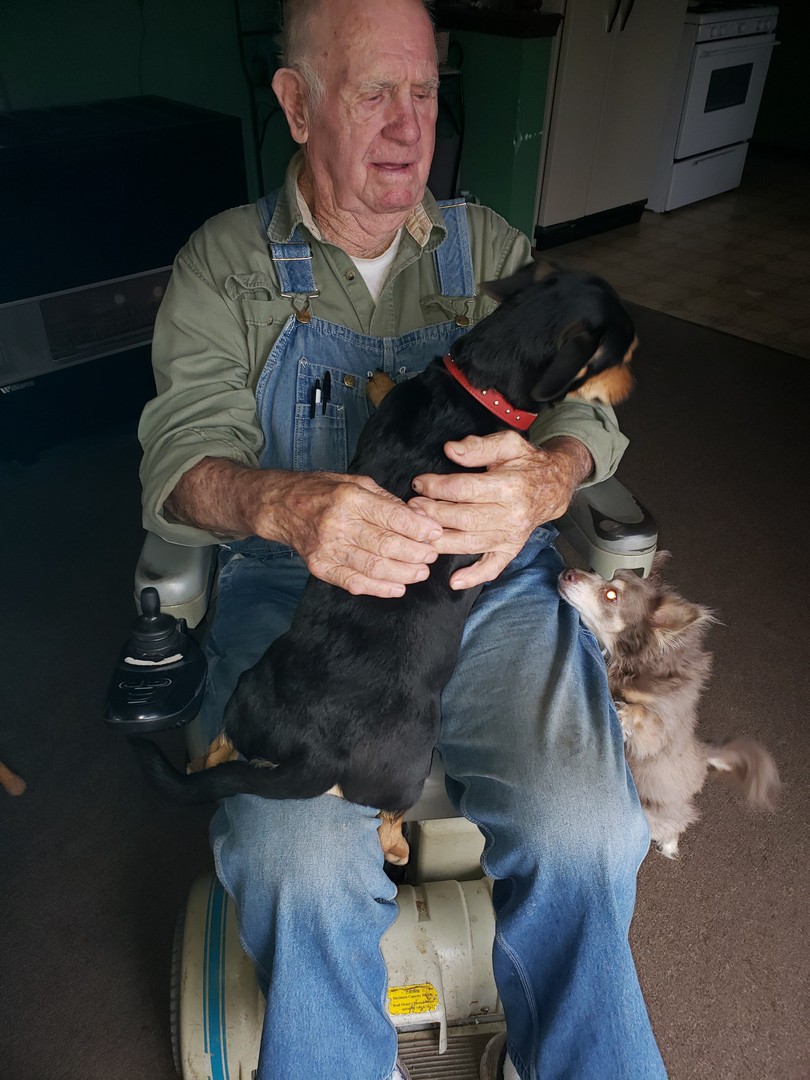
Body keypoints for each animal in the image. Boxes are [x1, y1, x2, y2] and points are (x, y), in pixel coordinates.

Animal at [558, 554, 780, 857]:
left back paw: (669, 845)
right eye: (593, 570)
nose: (567, 572)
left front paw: (623, 711)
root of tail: (704, 757)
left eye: (612, 595)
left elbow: (647, 718)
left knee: (677, 823)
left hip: (656, 814)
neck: (626, 664)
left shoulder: (657, 732)